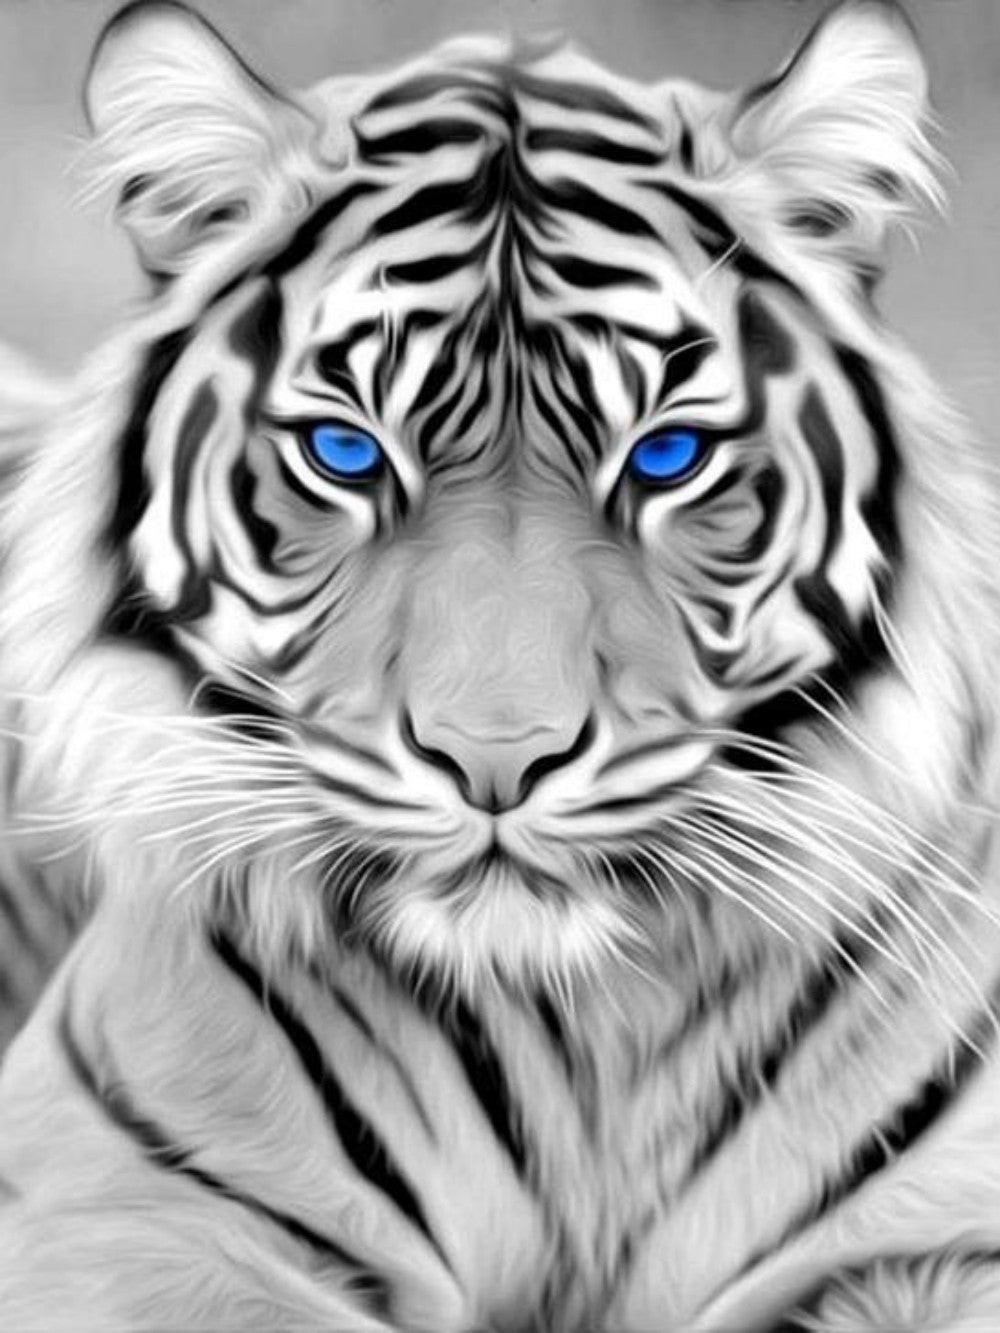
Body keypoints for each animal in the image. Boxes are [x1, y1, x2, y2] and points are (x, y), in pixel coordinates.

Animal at [1, 0, 999, 1328]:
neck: (581, 1047)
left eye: (666, 454)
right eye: (344, 450)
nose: (495, 763)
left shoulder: (936, 1234)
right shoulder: (114, 1210)